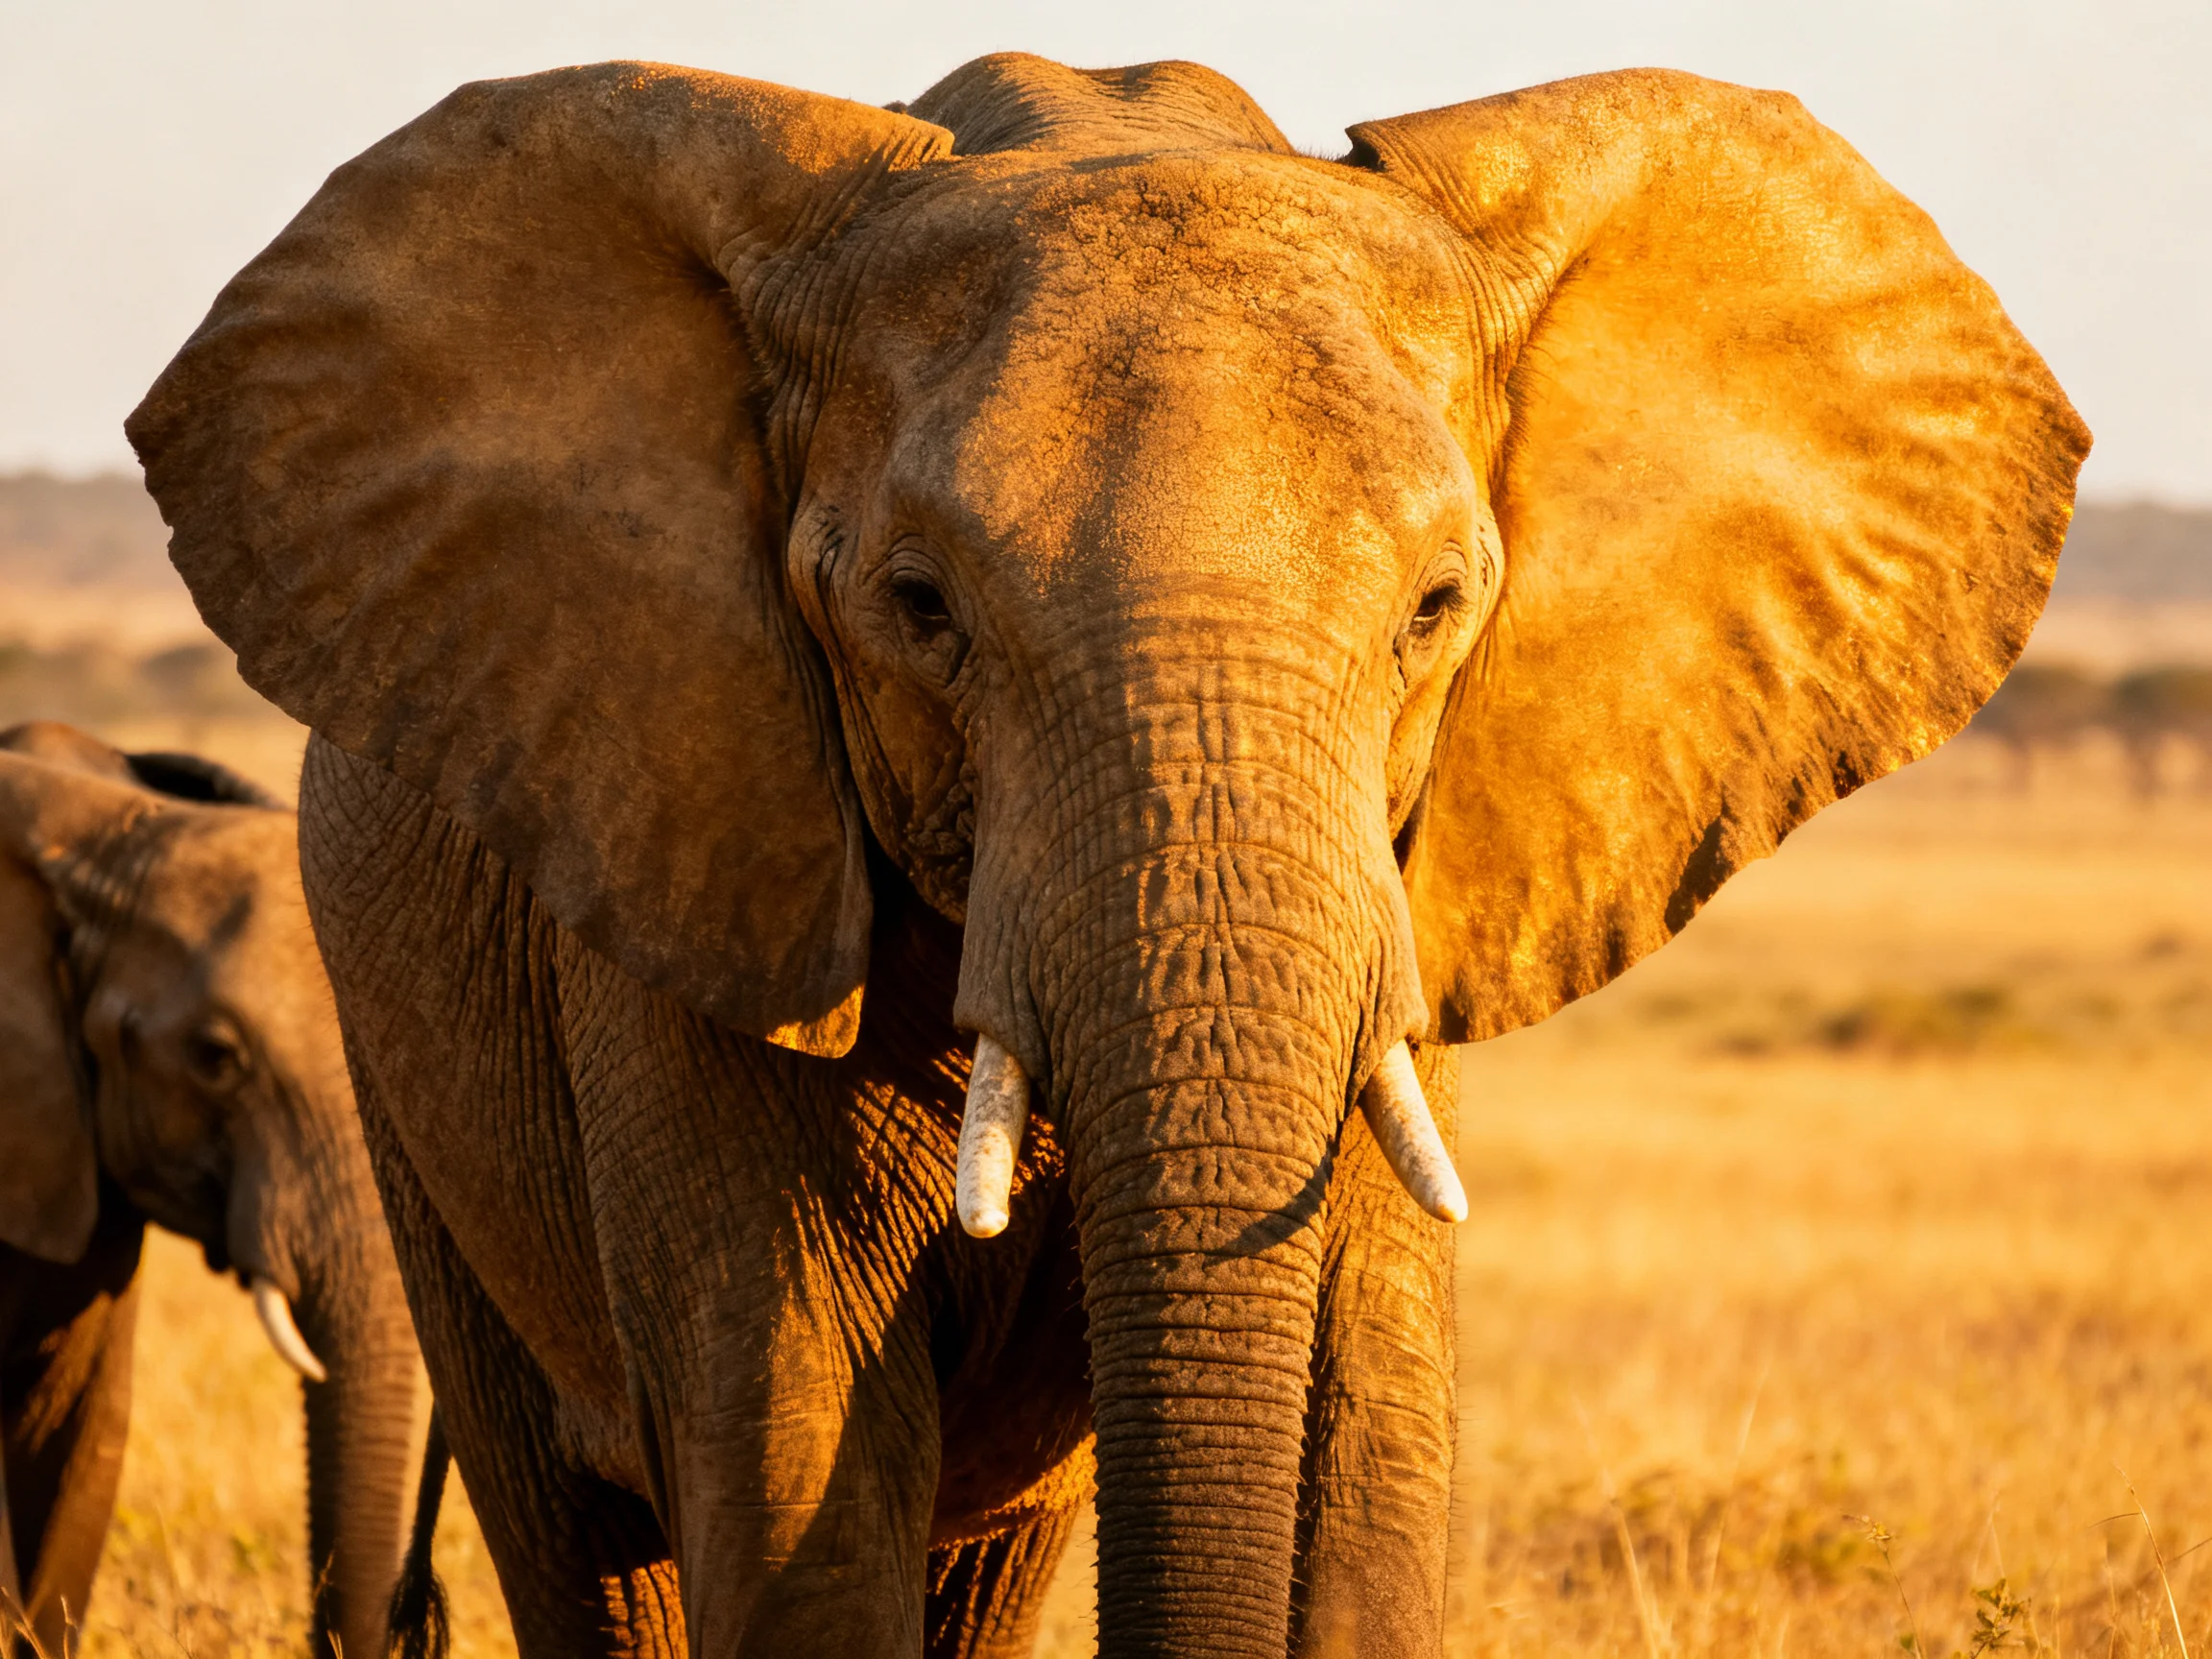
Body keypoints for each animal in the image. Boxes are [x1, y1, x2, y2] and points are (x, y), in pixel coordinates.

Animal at [125, 52, 2087, 1659]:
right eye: (919, 608)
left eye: (1435, 608)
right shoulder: (693, 863)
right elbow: (796, 1461)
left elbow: (1363, 1453)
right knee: (590, 1545)